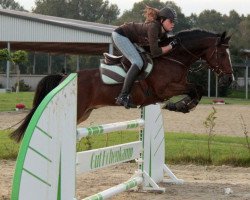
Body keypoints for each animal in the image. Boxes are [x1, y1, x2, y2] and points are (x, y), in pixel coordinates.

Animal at [10, 29, 234, 142]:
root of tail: (66, 76)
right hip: (77, 110)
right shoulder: (164, 90)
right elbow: (195, 89)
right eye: (223, 54)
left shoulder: (179, 84)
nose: (229, 80)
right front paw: (179, 105)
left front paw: (182, 106)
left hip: (84, 113)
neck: (173, 58)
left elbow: (198, 88)